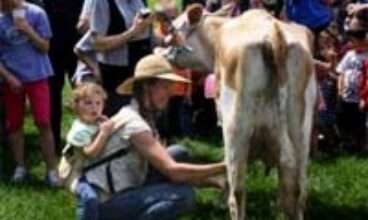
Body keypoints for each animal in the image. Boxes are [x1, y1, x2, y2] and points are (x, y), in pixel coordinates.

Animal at [165, 5, 318, 220]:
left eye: (172, 29)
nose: (162, 52)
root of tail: (274, 33)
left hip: (236, 128)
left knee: (237, 192)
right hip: (301, 130)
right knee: (298, 188)